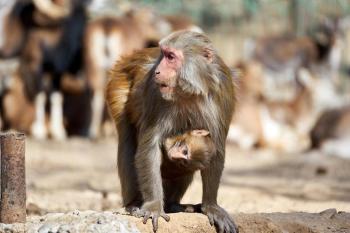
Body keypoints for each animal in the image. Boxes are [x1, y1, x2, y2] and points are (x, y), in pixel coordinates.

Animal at [106, 31, 238, 233]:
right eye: (165, 54)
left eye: (170, 57)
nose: (158, 71)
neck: (191, 91)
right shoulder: (155, 92)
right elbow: (149, 147)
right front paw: (153, 206)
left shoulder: (223, 92)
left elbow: (216, 149)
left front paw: (211, 206)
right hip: (118, 82)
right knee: (127, 143)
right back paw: (134, 203)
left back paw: (173, 205)